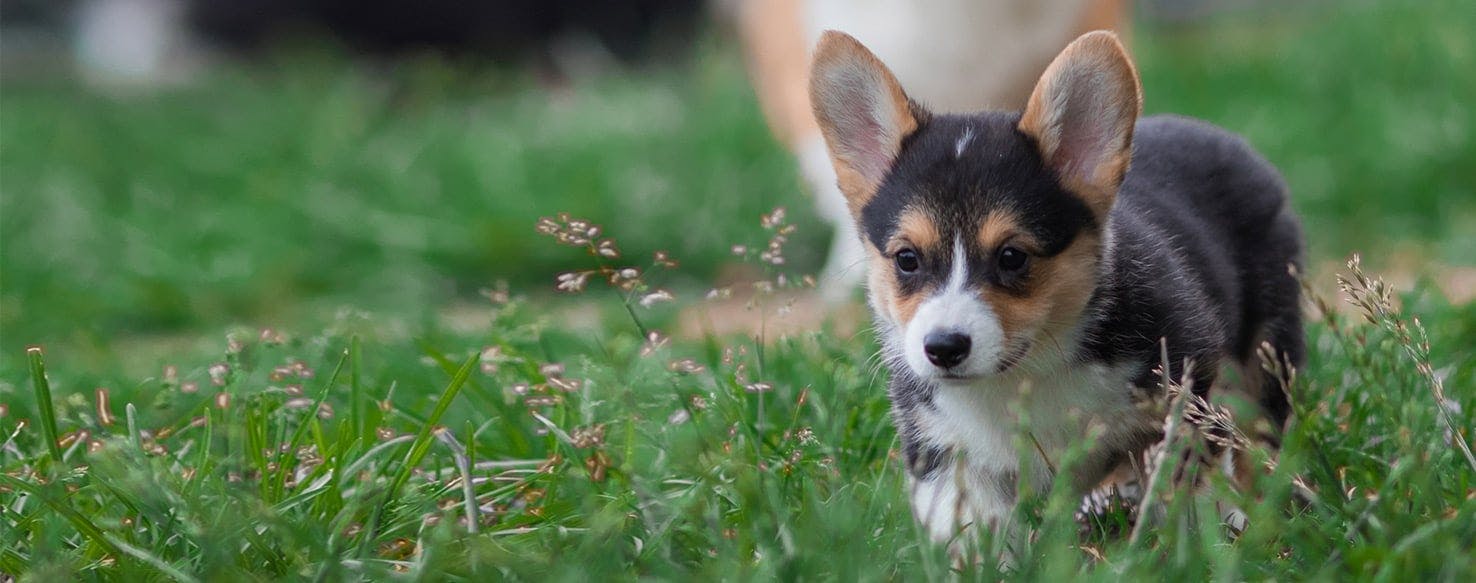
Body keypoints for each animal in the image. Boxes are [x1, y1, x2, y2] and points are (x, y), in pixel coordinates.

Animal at [808, 30, 1304, 543]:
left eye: (1012, 257)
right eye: (907, 259)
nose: (943, 348)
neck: (1028, 371)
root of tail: (1224, 138)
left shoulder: (1189, 375)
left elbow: (1182, 481)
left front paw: (1178, 542)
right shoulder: (941, 445)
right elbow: (964, 525)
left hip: (1265, 352)